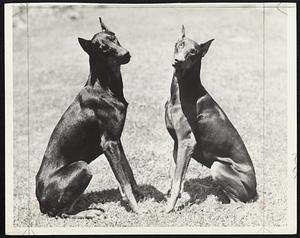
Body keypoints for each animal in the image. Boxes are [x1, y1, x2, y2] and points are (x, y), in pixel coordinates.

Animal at [35, 18, 142, 219]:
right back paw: (91, 212)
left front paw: (138, 194)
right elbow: (123, 180)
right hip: (82, 167)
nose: (126, 54)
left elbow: (128, 170)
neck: (105, 86)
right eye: (103, 49)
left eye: (114, 38)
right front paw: (137, 209)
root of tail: (41, 204)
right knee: (62, 213)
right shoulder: (108, 143)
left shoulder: (116, 140)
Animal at [164, 25, 258, 213]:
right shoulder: (177, 141)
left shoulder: (186, 142)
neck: (181, 90)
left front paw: (169, 208)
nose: (178, 61)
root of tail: (255, 189)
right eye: (180, 44)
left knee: (238, 203)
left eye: (193, 51)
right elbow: (173, 174)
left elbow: (177, 180)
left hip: (218, 167)